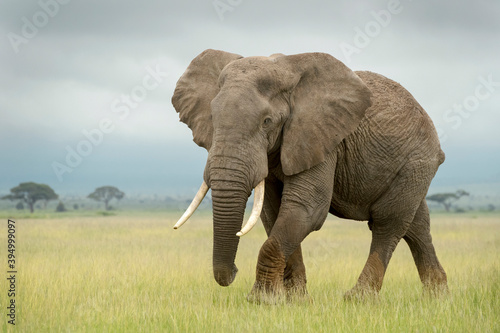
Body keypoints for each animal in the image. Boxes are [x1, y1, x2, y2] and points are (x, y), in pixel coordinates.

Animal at [170, 48, 448, 300]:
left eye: (267, 122)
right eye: (212, 118)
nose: (235, 271)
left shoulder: (323, 138)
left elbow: (306, 208)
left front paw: (262, 300)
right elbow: (274, 212)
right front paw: (294, 300)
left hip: (417, 162)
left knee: (388, 222)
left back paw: (359, 298)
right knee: (416, 225)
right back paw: (437, 297)